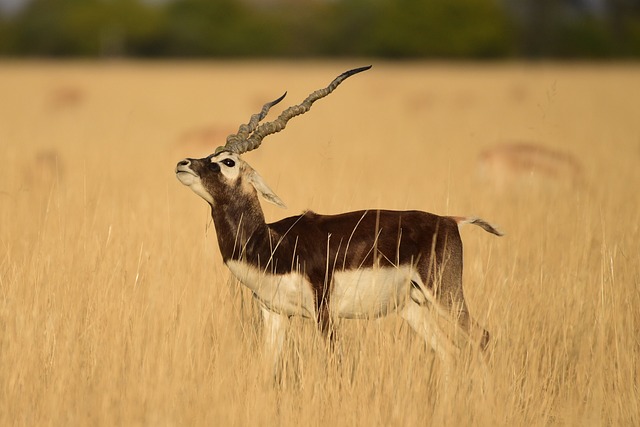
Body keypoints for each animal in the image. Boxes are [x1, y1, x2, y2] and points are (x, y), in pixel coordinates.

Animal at [174, 65, 500, 376]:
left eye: (227, 162)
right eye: (212, 154)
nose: (183, 163)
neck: (273, 244)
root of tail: (449, 220)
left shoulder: (324, 312)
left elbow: (337, 365)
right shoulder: (274, 314)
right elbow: (266, 370)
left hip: (444, 293)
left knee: (482, 338)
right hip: (412, 306)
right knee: (450, 354)